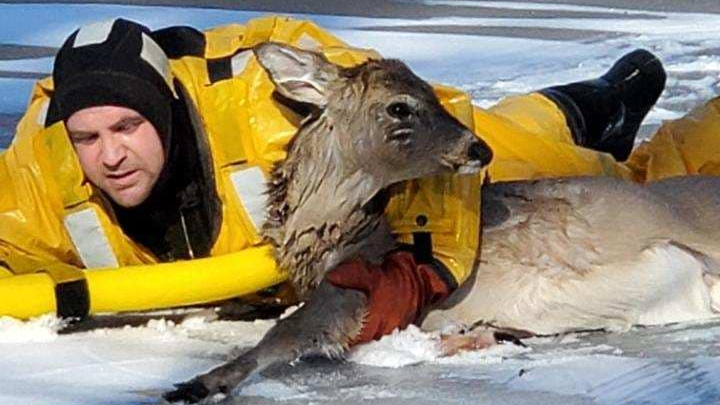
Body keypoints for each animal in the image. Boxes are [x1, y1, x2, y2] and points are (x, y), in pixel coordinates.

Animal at [163, 42, 492, 403]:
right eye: (400, 107)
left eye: (435, 95)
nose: (480, 149)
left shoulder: (352, 287)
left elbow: (287, 330)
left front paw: (205, 381)